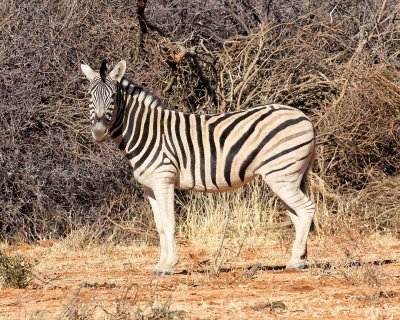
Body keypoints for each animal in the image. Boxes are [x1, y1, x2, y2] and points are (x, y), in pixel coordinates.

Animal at [80, 59, 316, 276]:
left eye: (112, 97)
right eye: (90, 97)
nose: (98, 132)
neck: (145, 131)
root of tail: (304, 117)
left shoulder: (164, 180)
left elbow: (169, 223)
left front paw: (168, 265)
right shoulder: (150, 187)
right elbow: (159, 226)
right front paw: (160, 263)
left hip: (281, 174)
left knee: (306, 209)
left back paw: (296, 261)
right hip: (288, 176)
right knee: (297, 214)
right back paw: (298, 259)